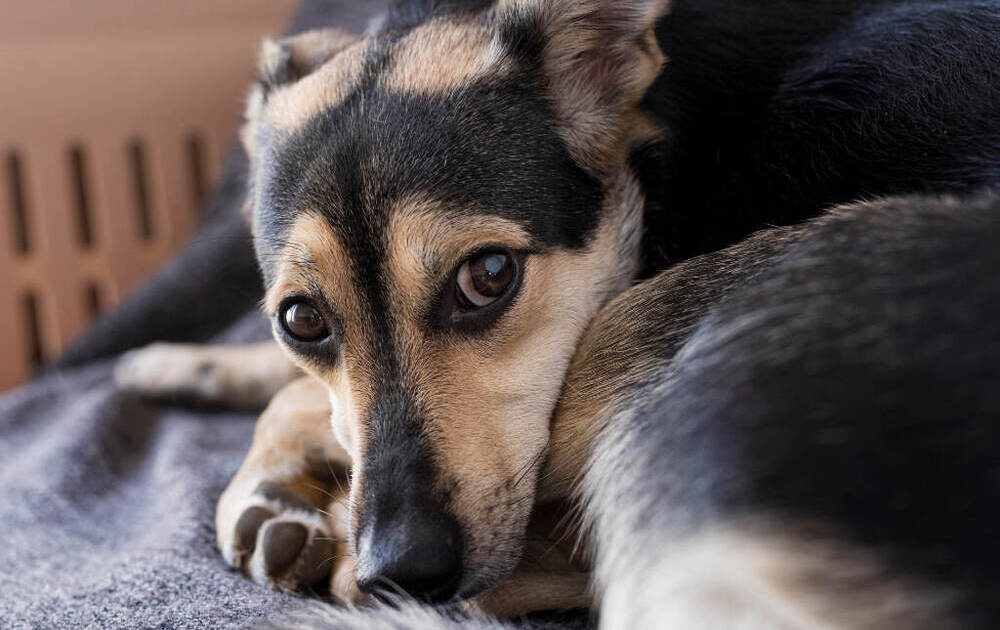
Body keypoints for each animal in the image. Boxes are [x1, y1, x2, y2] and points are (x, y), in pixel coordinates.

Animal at [117, 0, 1000, 628]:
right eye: (301, 320)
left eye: (489, 276)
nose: (401, 571)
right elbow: (291, 381)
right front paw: (177, 363)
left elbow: (297, 397)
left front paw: (265, 476)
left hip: (679, 313)